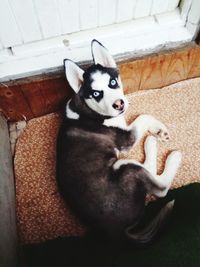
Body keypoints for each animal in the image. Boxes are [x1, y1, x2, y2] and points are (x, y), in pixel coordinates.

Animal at [56, 39, 181, 247]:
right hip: (125, 168)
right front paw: (158, 128)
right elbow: (142, 117)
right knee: (160, 187)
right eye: (96, 93)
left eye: (112, 82)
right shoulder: (125, 138)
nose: (119, 104)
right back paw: (167, 154)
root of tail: (114, 232)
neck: (85, 109)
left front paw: (159, 131)